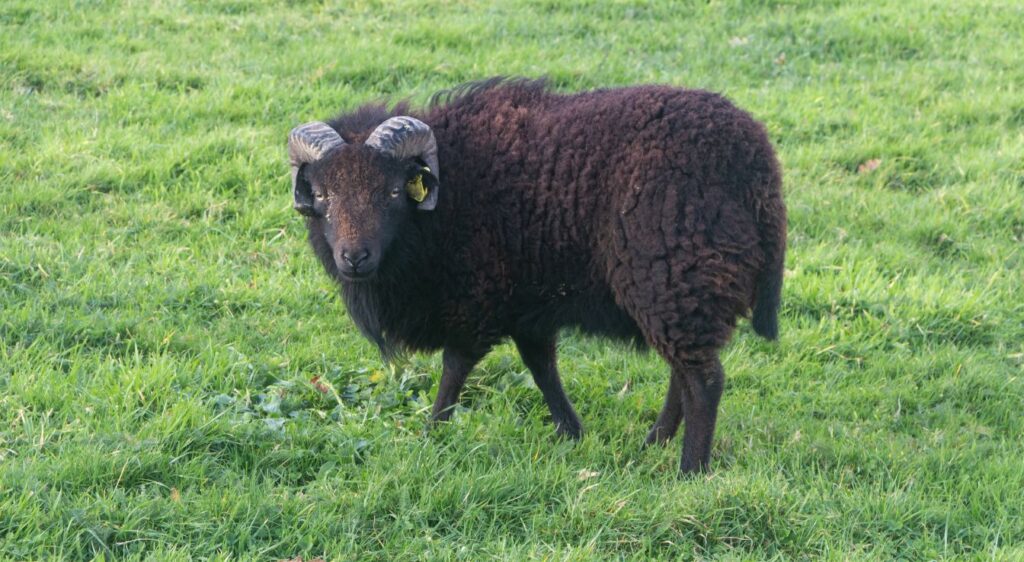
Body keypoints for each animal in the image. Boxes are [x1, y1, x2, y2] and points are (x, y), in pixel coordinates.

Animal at [288, 78, 786, 474]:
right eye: (323, 194)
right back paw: (654, 441)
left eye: (392, 192)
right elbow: (541, 366)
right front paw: (571, 430)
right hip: (678, 289)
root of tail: (760, 165)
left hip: (673, 275)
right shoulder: (527, 302)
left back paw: (690, 469)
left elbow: (455, 368)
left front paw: (434, 430)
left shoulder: (475, 297)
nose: (354, 257)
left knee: (704, 380)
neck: (445, 201)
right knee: (683, 372)